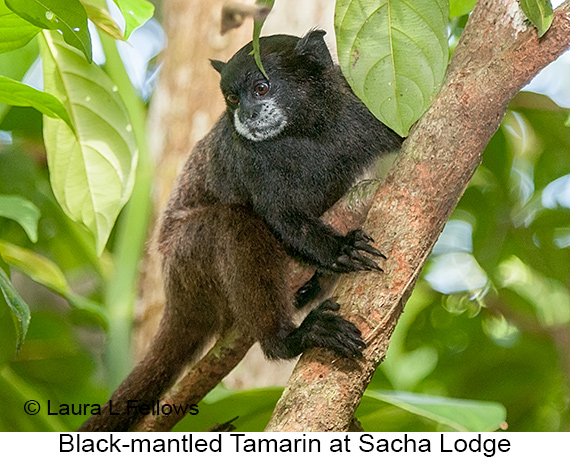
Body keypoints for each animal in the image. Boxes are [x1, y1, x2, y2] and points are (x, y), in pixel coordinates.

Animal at [79, 29, 400, 432]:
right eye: (232, 98)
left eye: (261, 89)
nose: (245, 114)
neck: (306, 131)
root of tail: (174, 292)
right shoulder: (247, 155)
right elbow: (281, 217)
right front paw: (340, 249)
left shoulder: (359, 109)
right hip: (187, 256)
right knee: (235, 225)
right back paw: (289, 338)